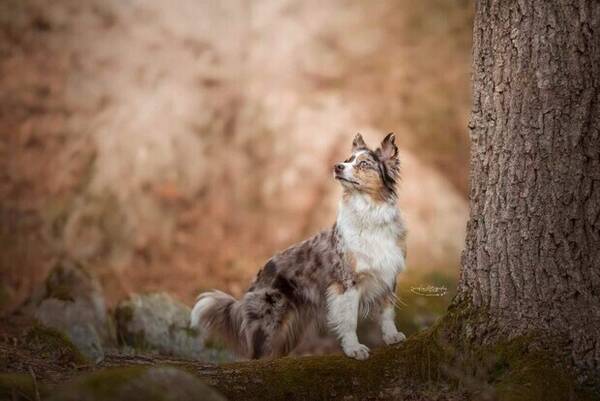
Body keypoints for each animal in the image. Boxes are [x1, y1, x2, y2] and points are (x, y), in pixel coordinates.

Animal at [192, 132, 408, 360]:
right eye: (347, 160)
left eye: (364, 163)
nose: (337, 166)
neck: (369, 215)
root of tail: (258, 276)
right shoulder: (346, 283)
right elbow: (349, 320)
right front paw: (353, 348)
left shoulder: (388, 276)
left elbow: (387, 312)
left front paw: (392, 336)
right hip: (269, 323)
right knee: (257, 355)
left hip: (289, 332)